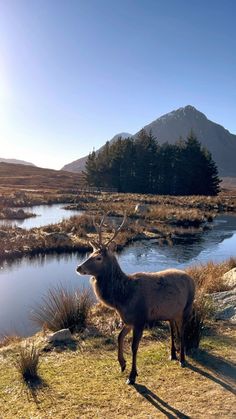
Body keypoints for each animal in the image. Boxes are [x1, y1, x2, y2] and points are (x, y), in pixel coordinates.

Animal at [76, 215, 195, 386]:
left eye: (98, 257)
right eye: (90, 254)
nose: (78, 268)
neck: (123, 297)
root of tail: (192, 279)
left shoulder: (140, 318)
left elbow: (134, 346)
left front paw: (132, 376)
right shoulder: (128, 319)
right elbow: (119, 337)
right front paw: (122, 364)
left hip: (187, 307)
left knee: (183, 330)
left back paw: (182, 359)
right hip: (171, 313)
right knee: (173, 329)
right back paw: (173, 354)